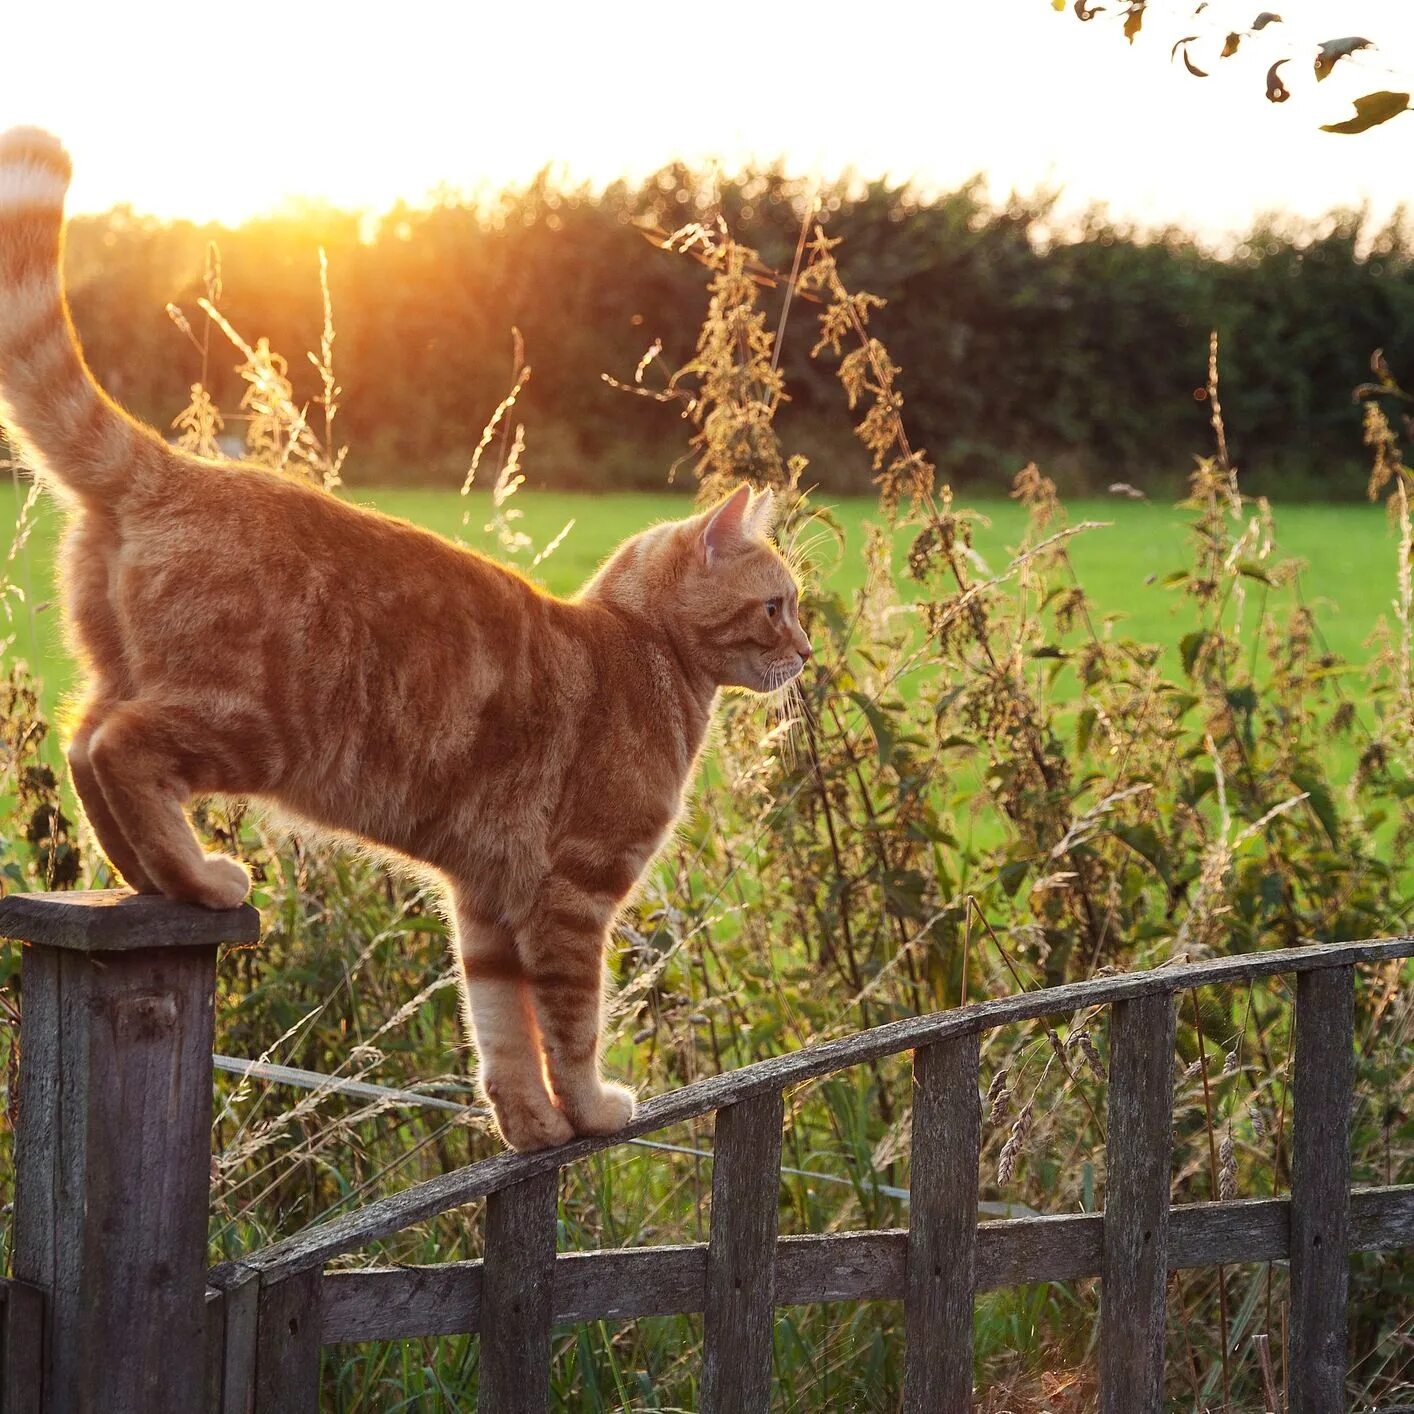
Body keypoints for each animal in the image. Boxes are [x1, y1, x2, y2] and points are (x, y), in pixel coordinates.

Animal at [0, 127, 814, 1153]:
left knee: (84, 744)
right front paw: (590, 1112)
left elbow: (503, 1032)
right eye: (779, 604)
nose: (808, 652)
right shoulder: (574, 895)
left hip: (133, 680)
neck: (643, 648)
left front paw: (531, 1127)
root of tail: (177, 469)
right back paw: (201, 878)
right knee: (118, 747)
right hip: (252, 723)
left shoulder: (489, 906)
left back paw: (155, 879)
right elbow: (575, 1027)